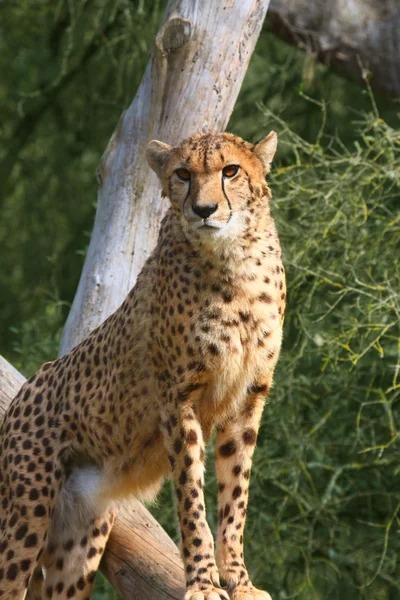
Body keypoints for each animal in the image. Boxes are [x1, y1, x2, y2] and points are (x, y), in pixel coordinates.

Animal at [0, 131, 284, 600]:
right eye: (183, 174)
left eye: (231, 171)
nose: (204, 209)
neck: (233, 260)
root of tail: (27, 385)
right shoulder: (177, 400)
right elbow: (192, 501)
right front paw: (203, 583)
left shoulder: (248, 399)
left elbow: (235, 498)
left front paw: (241, 582)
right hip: (24, 517)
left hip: (78, 543)